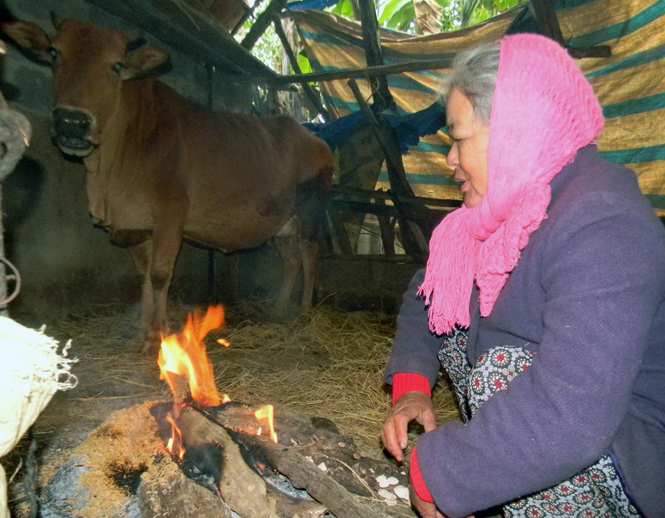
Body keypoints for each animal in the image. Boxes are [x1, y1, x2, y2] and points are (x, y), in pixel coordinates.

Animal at [4, 18, 332, 356]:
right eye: (54, 53)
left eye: (116, 65)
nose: (71, 121)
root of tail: (313, 137)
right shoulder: (136, 224)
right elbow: (145, 276)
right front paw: (140, 330)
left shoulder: (170, 214)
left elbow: (161, 274)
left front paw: (156, 337)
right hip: (282, 223)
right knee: (291, 260)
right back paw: (279, 309)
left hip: (311, 210)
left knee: (310, 253)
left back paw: (304, 310)